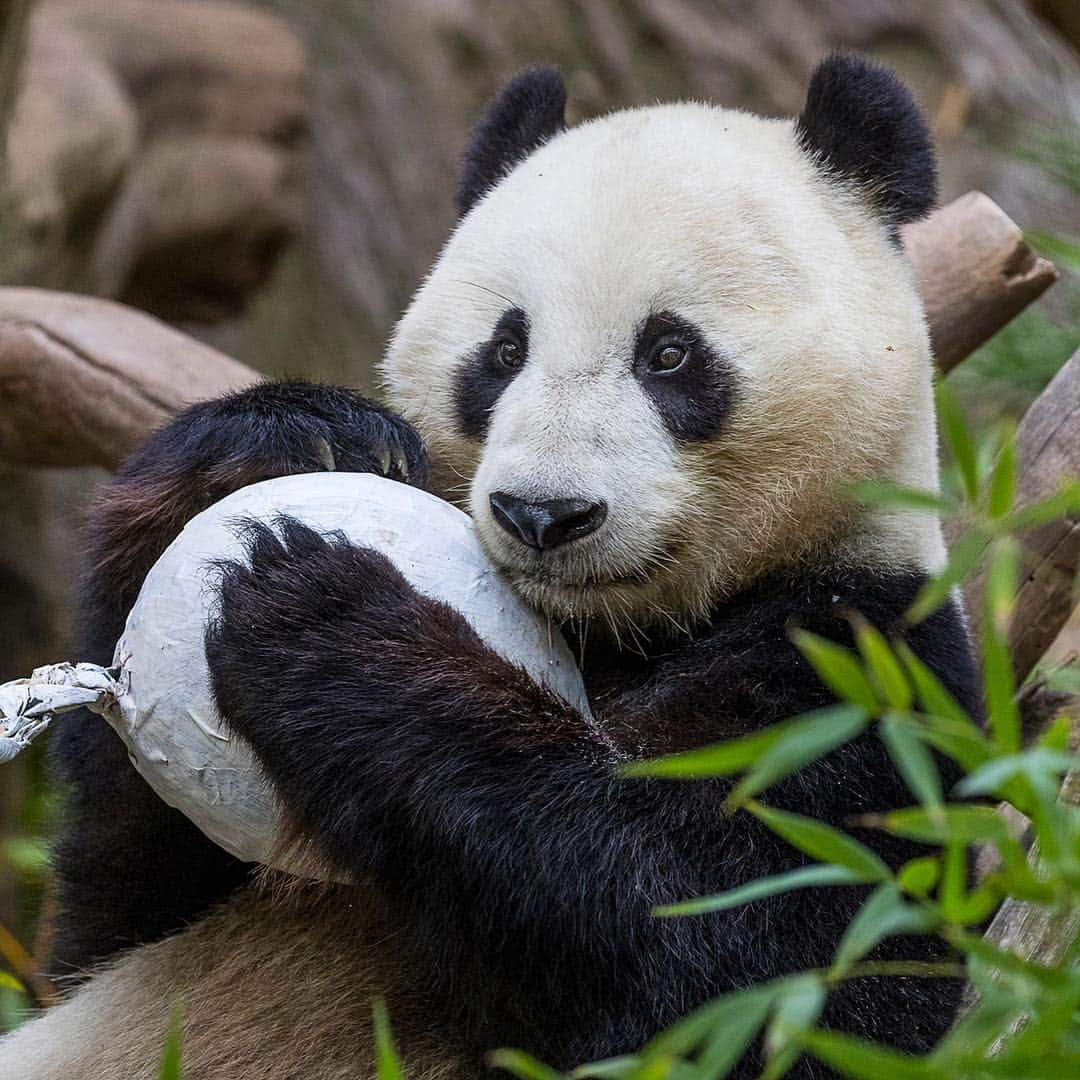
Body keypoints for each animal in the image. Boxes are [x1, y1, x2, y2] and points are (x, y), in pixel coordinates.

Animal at [0, 56, 980, 1080]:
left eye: (670, 353)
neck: (623, 634)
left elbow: (732, 965)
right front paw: (276, 443)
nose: (543, 514)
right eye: (504, 350)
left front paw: (328, 622)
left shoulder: (861, 678)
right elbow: (110, 908)